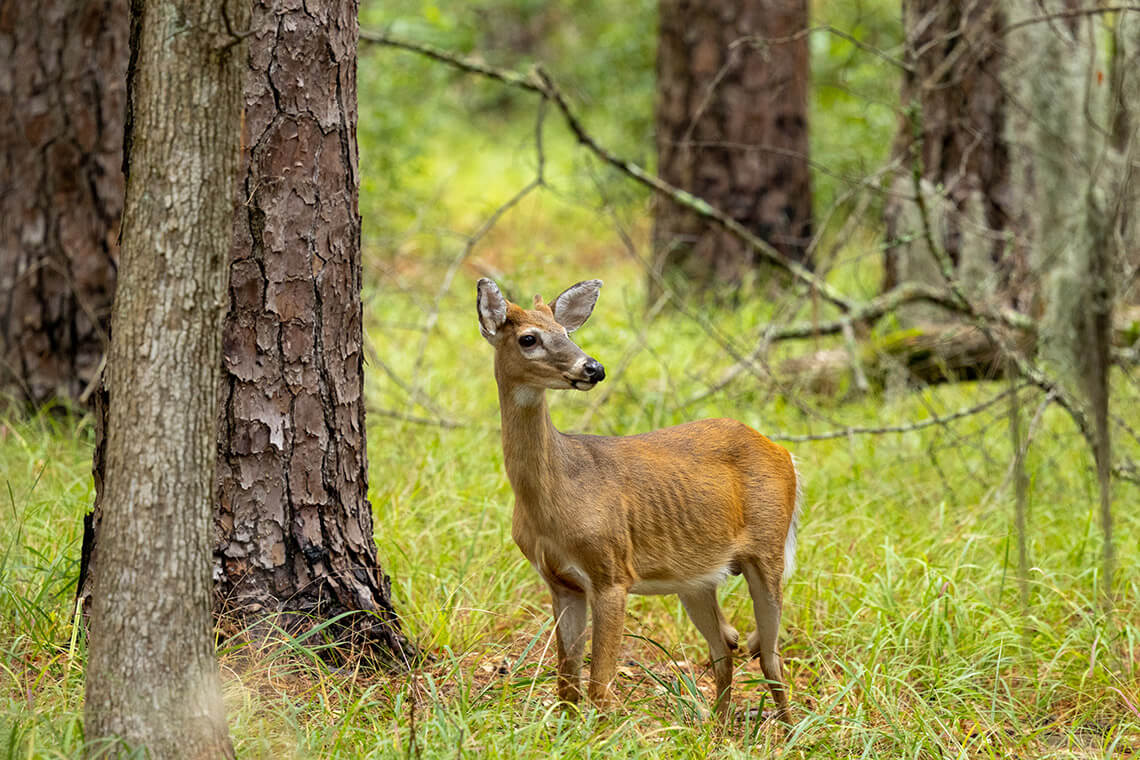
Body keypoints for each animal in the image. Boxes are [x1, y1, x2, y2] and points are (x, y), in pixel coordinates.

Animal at [476, 277, 802, 723]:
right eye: (529, 338)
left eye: (566, 333)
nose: (593, 368)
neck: (555, 500)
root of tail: (785, 453)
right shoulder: (560, 582)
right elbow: (567, 685)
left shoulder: (612, 572)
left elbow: (599, 687)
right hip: (696, 577)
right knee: (726, 645)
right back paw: (715, 729)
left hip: (768, 550)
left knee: (769, 654)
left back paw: (789, 733)